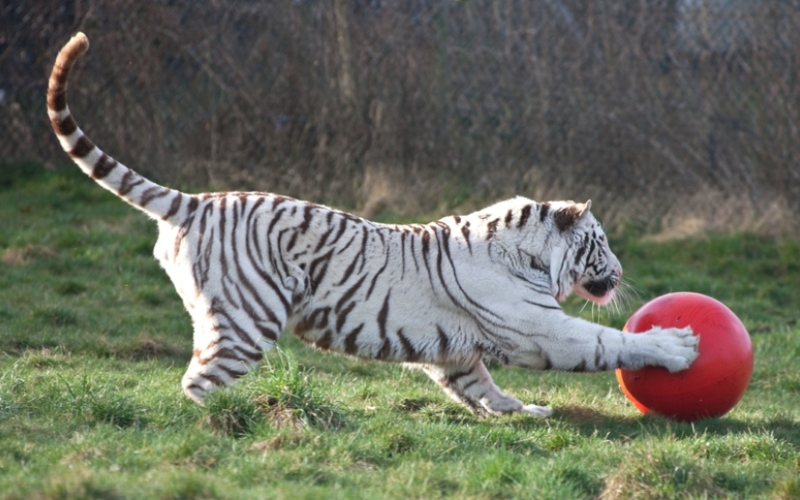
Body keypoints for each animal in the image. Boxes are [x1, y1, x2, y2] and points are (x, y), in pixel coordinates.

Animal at [51, 33, 700, 418]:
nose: (620, 271)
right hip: (245, 321)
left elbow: (479, 387)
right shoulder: (542, 331)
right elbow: (609, 341)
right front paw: (676, 346)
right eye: (601, 244)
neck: (529, 250)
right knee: (197, 386)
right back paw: (221, 424)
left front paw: (522, 412)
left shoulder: (455, 353)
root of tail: (197, 201)